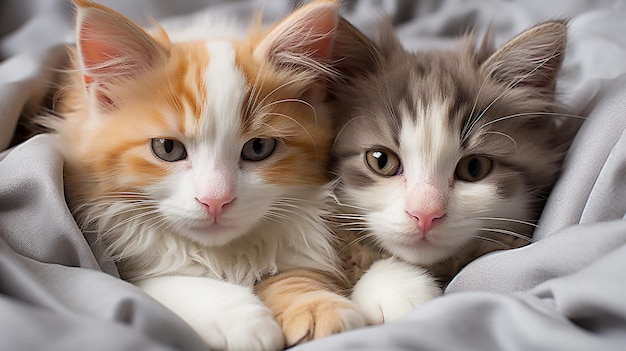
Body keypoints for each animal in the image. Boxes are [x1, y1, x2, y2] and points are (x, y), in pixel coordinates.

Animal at [48, 0, 366, 350]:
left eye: (258, 148)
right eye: (167, 148)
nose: (215, 201)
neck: (221, 254)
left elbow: (296, 274)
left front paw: (314, 305)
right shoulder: (123, 266)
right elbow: (173, 283)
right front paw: (241, 318)